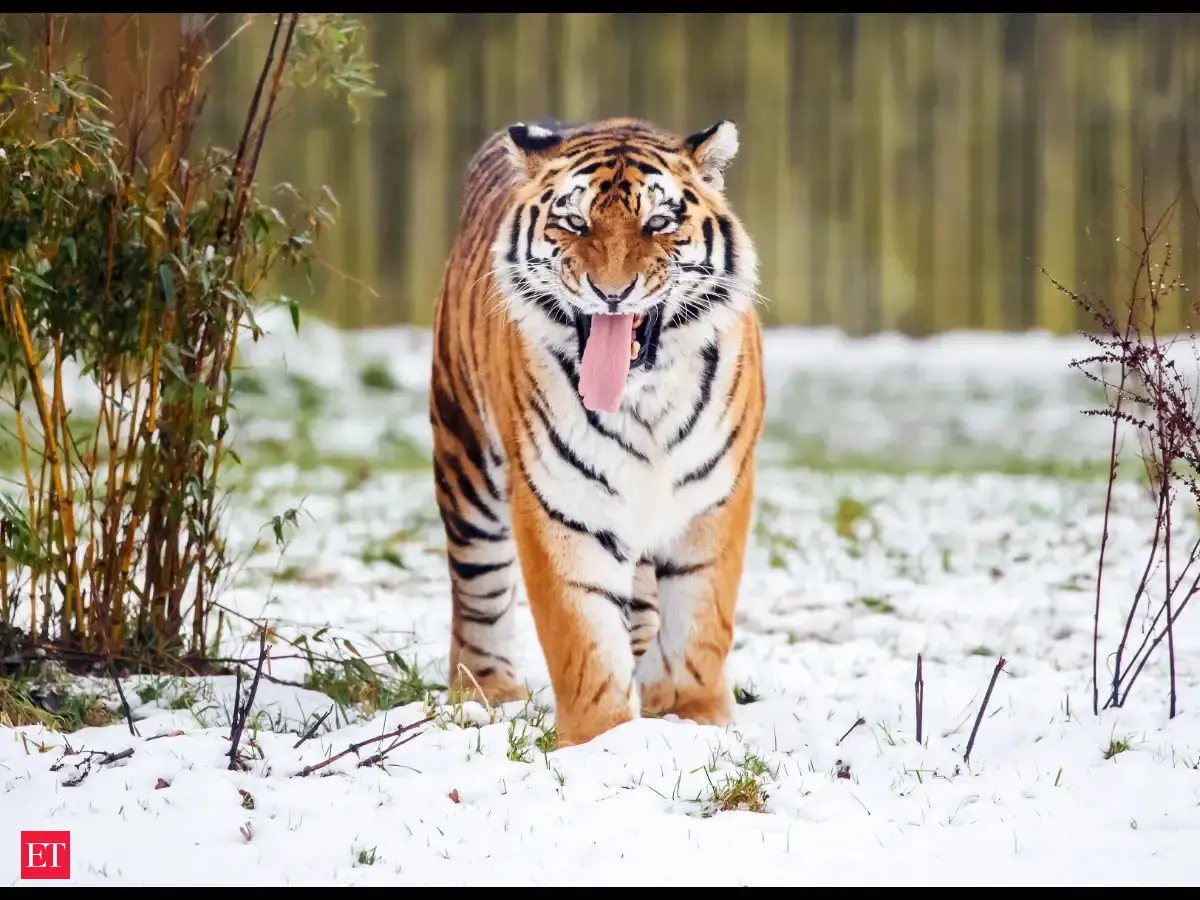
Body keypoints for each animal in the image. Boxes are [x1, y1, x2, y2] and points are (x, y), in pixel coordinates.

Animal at [429, 116, 765, 749]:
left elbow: (700, 621)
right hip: (466, 462)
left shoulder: (715, 497)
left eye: (658, 223)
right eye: (574, 222)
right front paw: (601, 743)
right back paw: (488, 692)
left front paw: (694, 718)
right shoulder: (560, 502)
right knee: (478, 590)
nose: (612, 292)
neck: (644, 400)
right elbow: (582, 636)